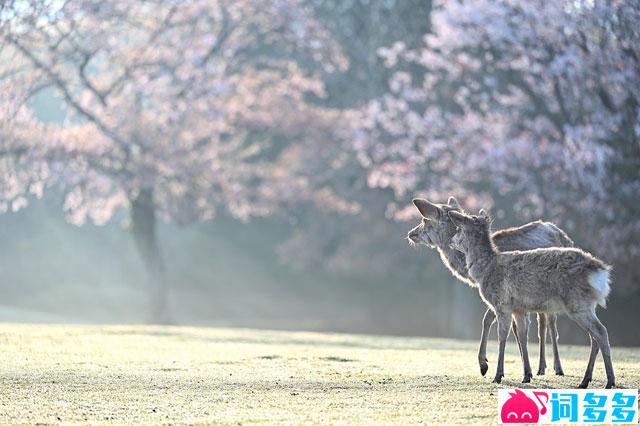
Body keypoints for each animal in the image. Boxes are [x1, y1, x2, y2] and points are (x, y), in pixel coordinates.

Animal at [404, 196, 568, 380]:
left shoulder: (505, 296)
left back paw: (558, 368)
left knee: (551, 324)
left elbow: (491, 320)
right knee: (542, 323)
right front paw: (522, 369)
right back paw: (541, 367)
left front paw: (485, 365)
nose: (411, 234)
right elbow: (507, 325)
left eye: (425, 220)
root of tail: (560, 232)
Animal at [448, 210, 612, 390]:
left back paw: (609, 381)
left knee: (601, 331)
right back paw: (585, 381)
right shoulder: (519, 309)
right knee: (594, 337)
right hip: (588, 305)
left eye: (458, 229)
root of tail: (600, 272)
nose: (450, 241)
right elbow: (522, 335)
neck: (485, 270)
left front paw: (497, 375)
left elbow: (502, 336)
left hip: (577, 303)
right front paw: (527, 375)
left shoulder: (502, 303)